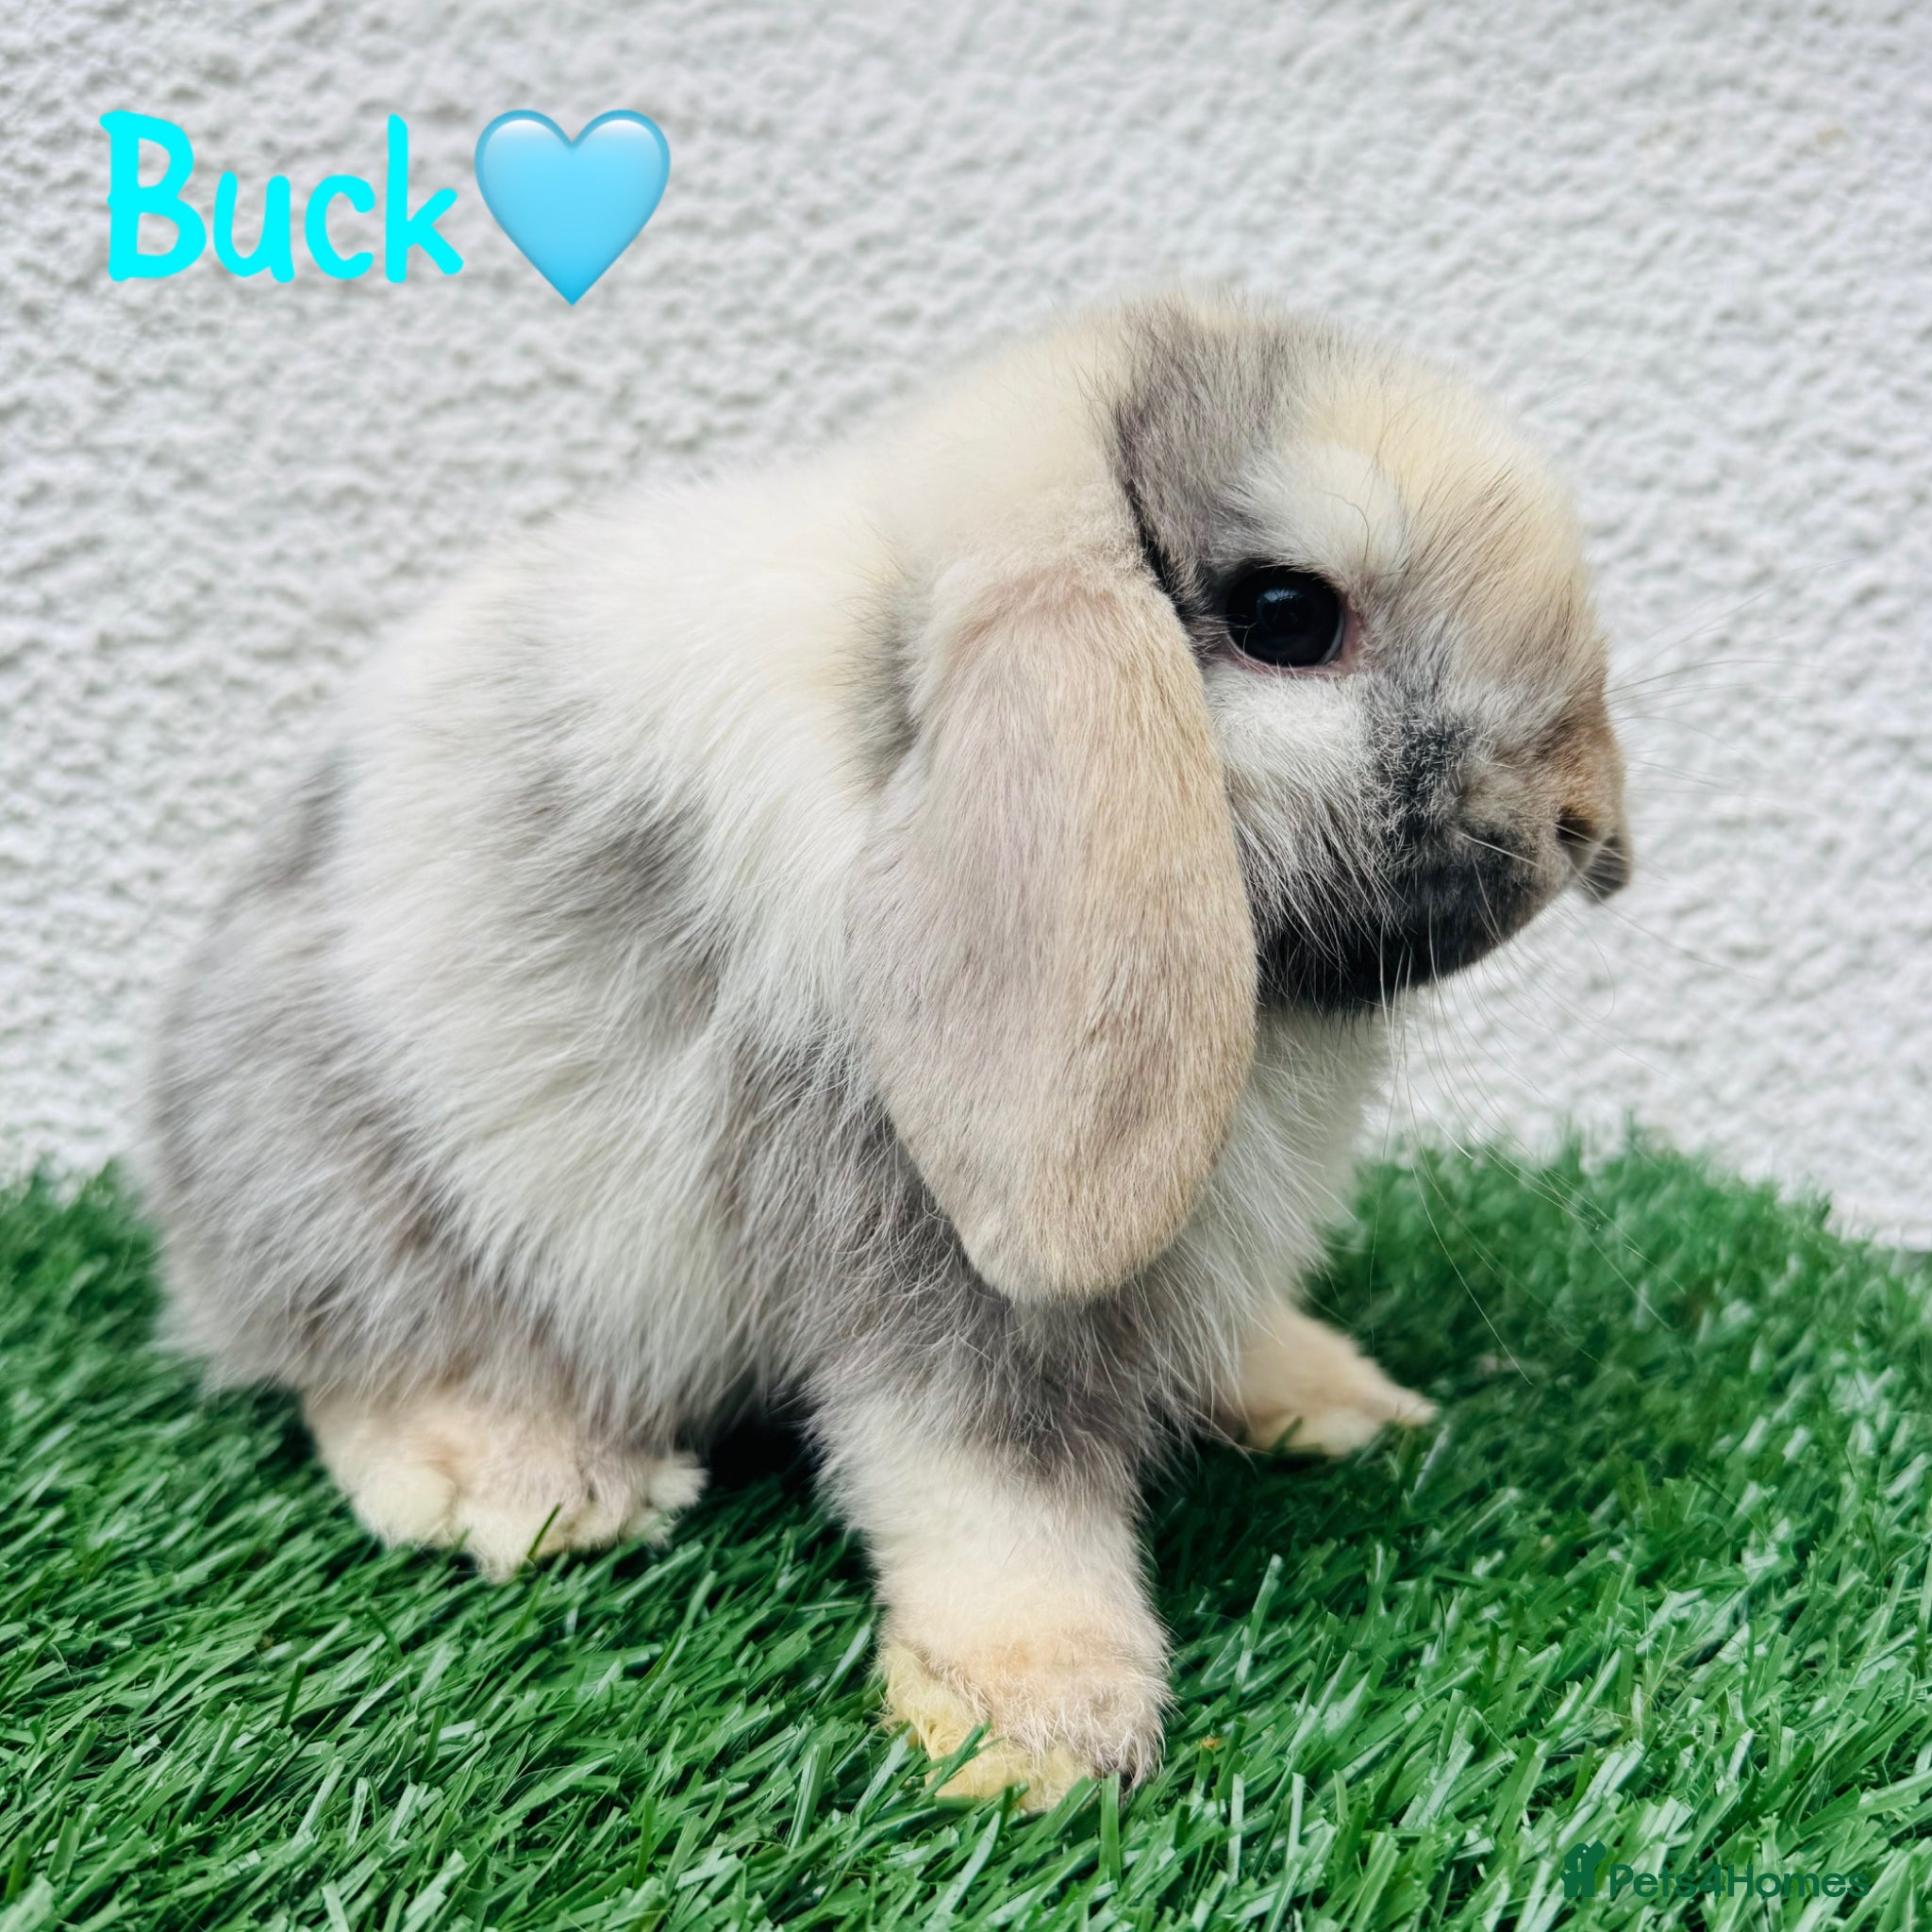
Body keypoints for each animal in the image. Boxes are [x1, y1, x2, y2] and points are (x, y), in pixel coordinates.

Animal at [143, 289, 1629, 1807]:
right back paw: (529, 1484)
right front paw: (1032, 1732)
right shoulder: (920, 1257)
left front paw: (1326, 1398)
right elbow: (988, 1484)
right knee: (349, 1354)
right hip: (358, 1192)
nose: (1583, 821)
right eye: (1287, 613)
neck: (893, 697)